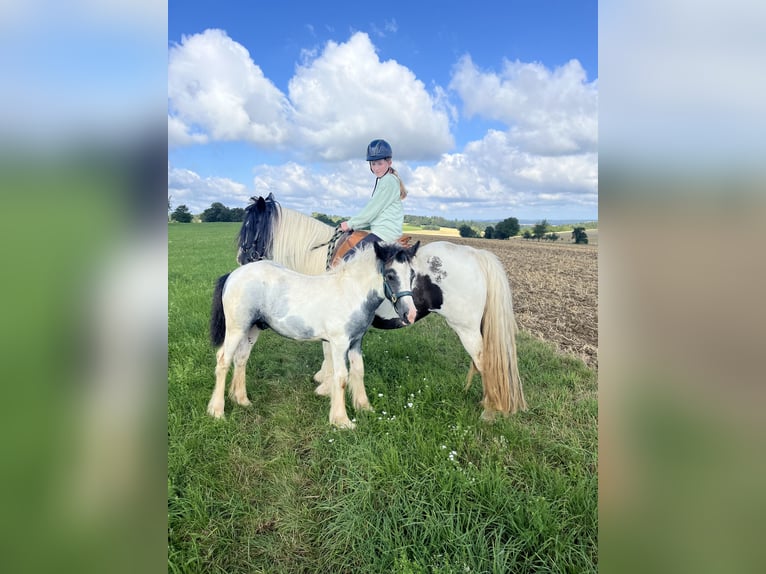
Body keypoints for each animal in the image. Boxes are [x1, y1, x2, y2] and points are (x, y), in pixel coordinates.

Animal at [208, 241, 420, 430]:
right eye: (390, 275)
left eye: (412, 274)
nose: (410, 314)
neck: (351, 293)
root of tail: (232, 275)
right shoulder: (339, 343)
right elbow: (341, 377)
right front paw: (342, 421)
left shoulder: (356, 341)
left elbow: (359, 371)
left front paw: (364, 407)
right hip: (236, 329)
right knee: (223, 360)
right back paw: (217, 411)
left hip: (252, 329)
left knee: (241, 358)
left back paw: (242, 400)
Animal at [240, 194, 528, 418]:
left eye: (250, 226)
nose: (241, 261)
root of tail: (476, 254)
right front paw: (325, 379)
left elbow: (328, 352)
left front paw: (324, 386)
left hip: (465, 328)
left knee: (484, 361)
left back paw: (488, 410)